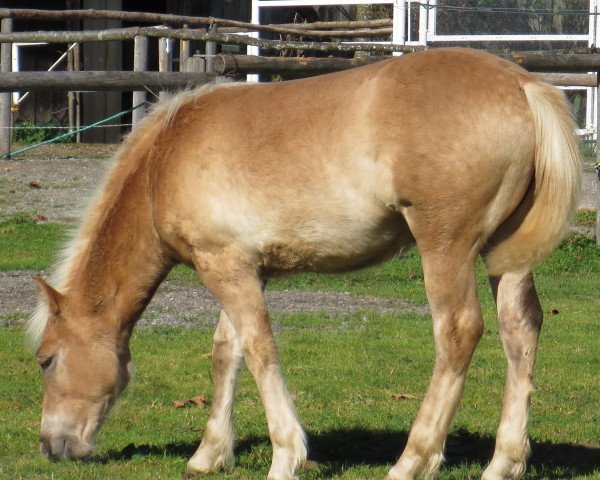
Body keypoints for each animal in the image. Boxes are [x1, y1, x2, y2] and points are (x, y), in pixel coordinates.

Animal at [30, 49, 580, 480]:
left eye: (46, 360)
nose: (50, 447)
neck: (165, 158)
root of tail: (523, 84)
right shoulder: (240, 269)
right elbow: (226, 352)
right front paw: (209, 454)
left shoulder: (224, 268)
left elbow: (259, 350)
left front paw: (284, 456)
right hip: (506, 255)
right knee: (520, 329)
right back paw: (503, 463)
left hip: (446, 248)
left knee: (458, 333)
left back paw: (412, 461)